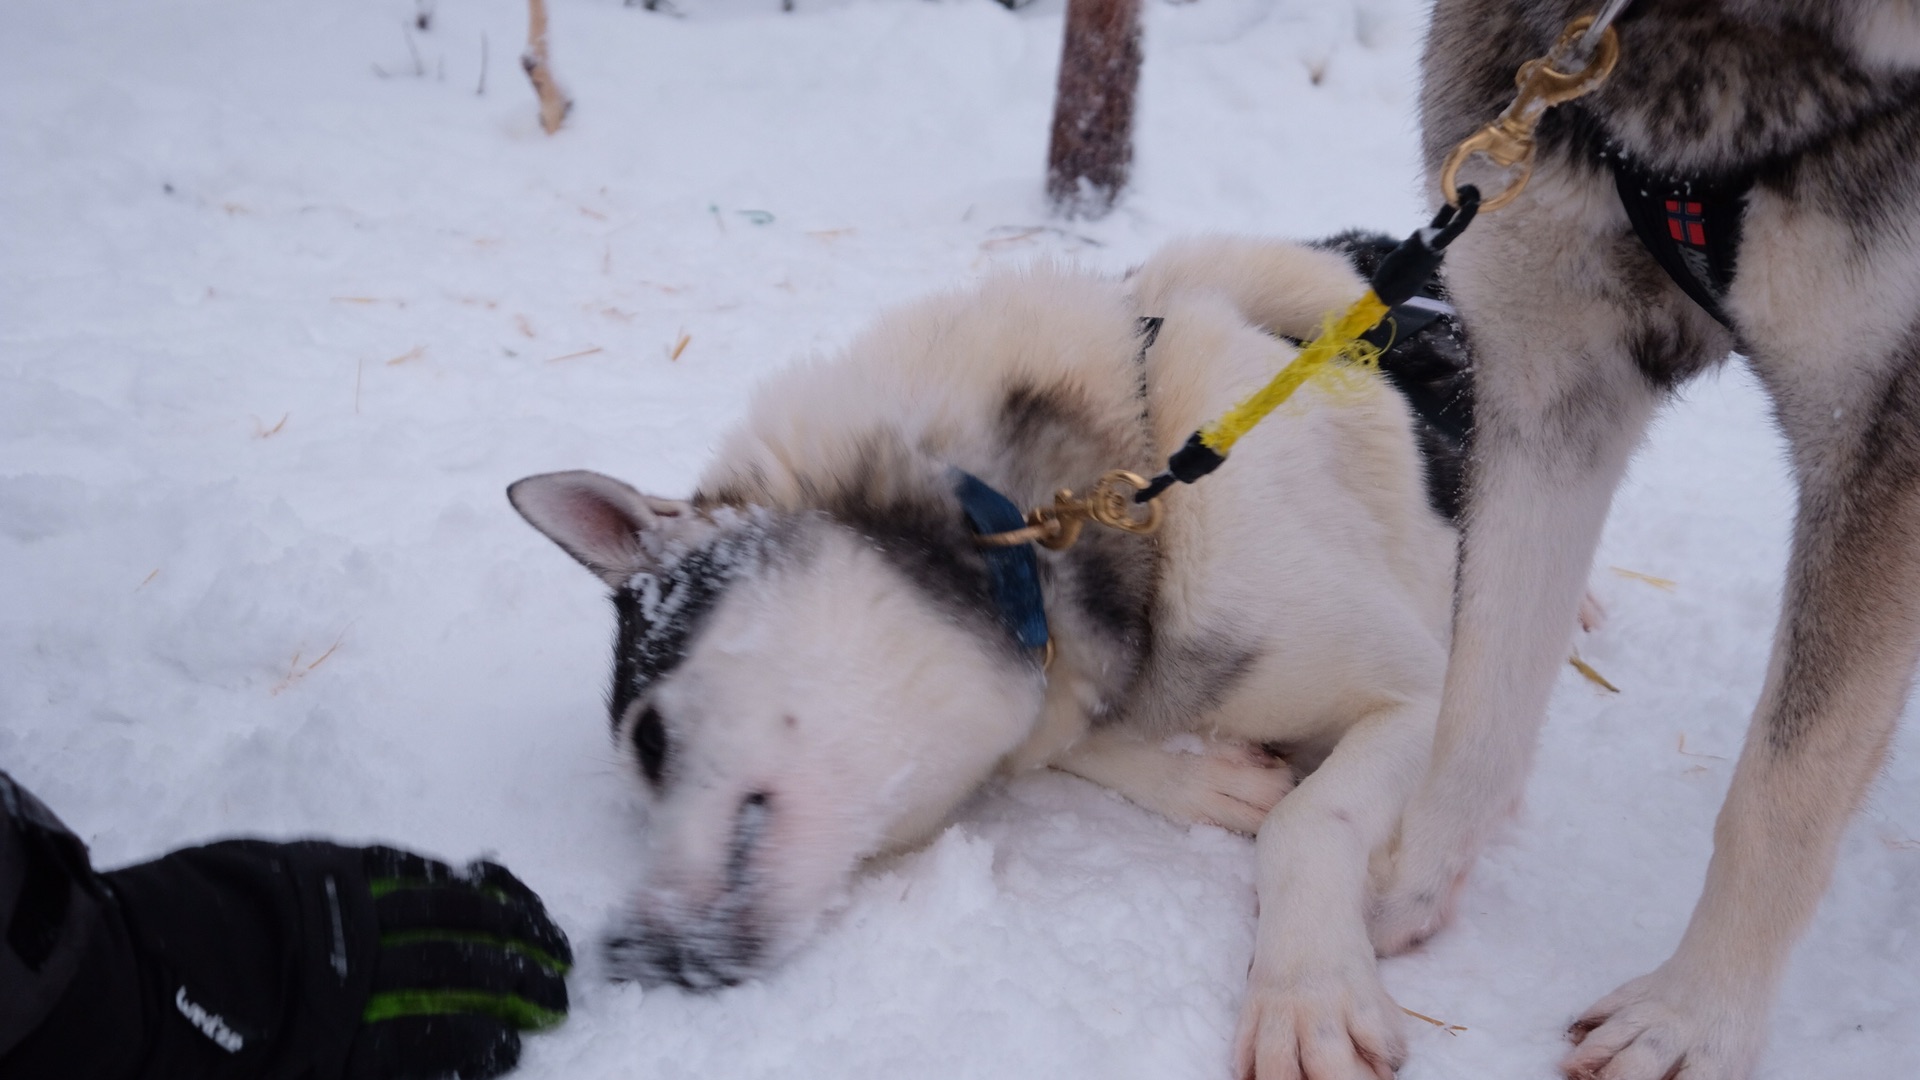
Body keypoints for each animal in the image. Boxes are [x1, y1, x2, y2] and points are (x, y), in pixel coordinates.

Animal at [1374, 6, 1920, 1076]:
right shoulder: (1553, 371)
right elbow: (1481, 695)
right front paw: (1404, 882)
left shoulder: (1885, 447)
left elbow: (1780, 791)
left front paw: (1692, 1018)